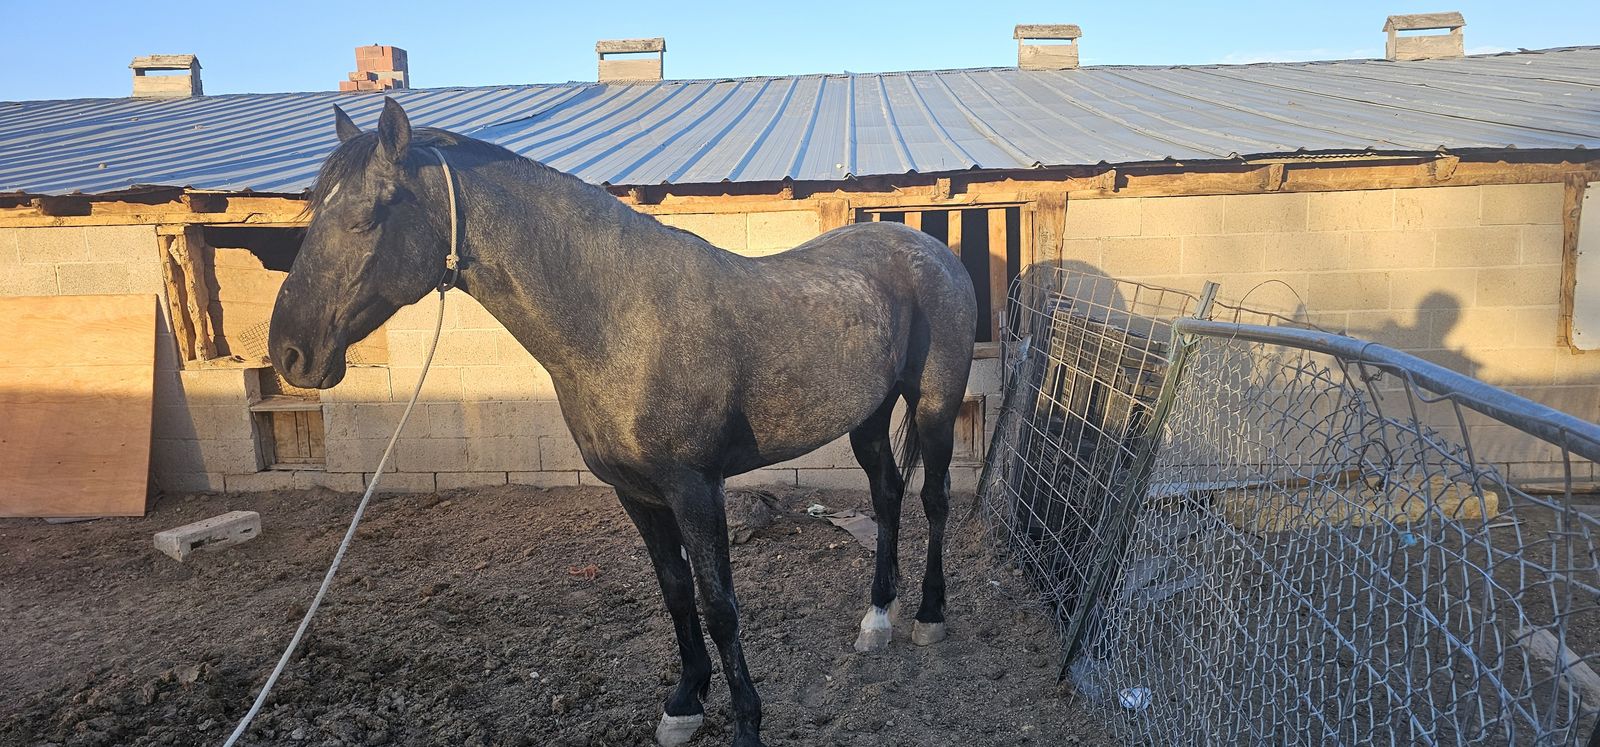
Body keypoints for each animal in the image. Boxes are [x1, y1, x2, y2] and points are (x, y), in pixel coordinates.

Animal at [269, 97, 977, 747]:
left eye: (367, 217)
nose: (290, 354)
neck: (621, 322)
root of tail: (927, 247)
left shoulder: (695, 489)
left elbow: (720, 605)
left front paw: (747, 722)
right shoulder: (637, 493)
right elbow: (676, 593)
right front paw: (684, 705)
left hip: (936, 406)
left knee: (934, 498)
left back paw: (928, 615)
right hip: (867, 416)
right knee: (887, 496)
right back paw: (877, 619)